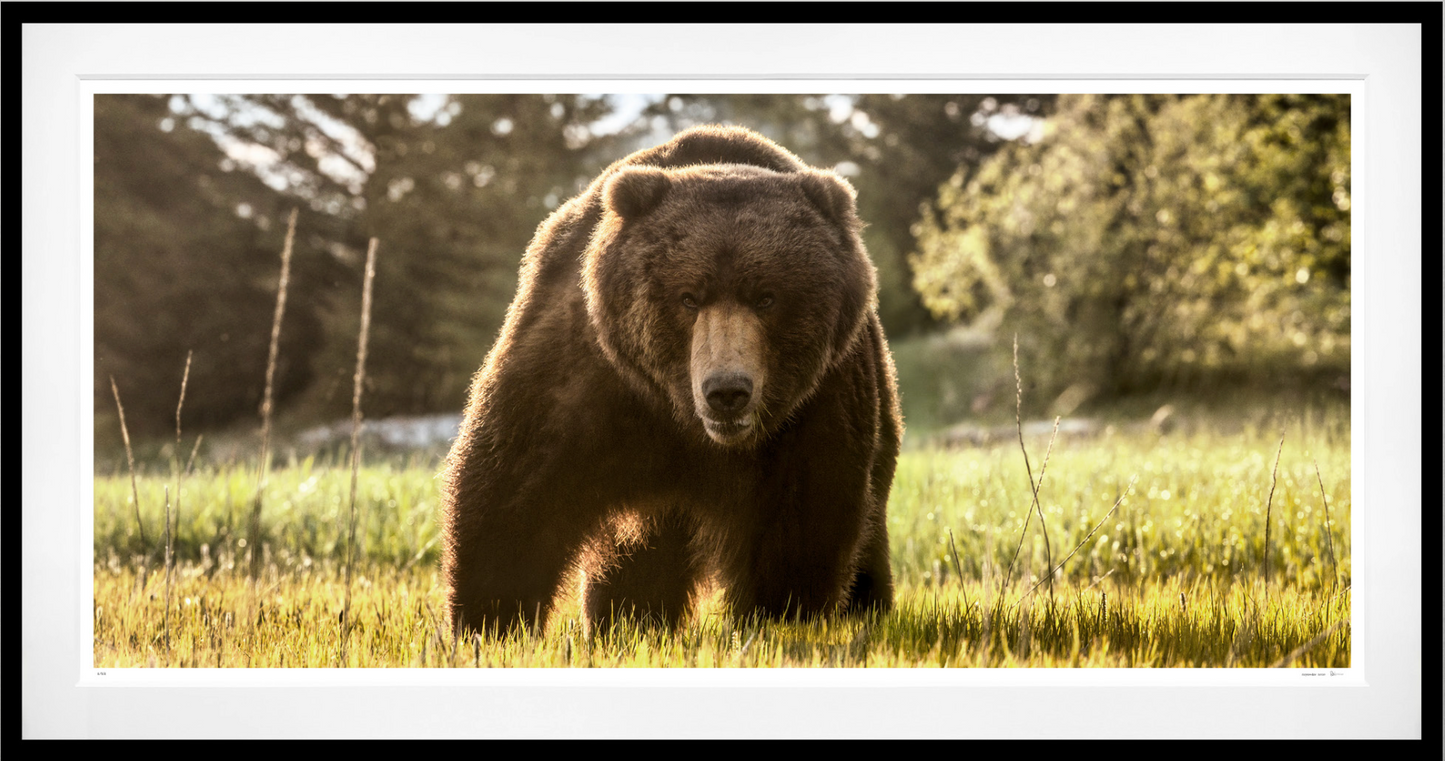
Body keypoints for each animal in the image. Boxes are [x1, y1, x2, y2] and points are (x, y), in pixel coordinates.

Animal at [439, 125, 901, 639]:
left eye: (767, 297)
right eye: (688, 297)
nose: (727, 392)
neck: (684, 419)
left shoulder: (815, 406)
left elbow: (801, 525)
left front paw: (780, 622)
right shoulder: (588, 374)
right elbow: (513, 489)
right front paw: (489, 623)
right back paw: (629, 620)